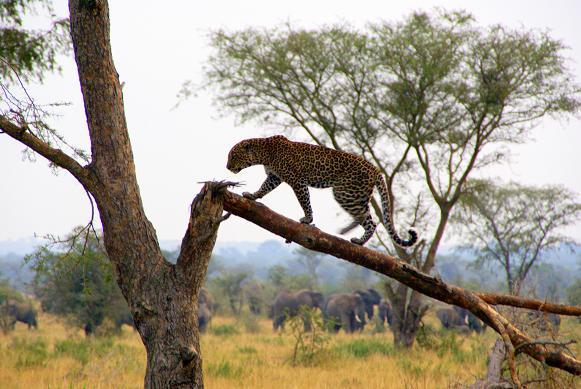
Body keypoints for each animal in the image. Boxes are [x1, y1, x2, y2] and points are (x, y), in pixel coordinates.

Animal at [225, 135, 416, 247]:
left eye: (233, 156)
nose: (227, 167)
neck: (263, 152)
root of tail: (374, 168)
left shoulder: (297, 182)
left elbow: (305, 203)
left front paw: (307, 220)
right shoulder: (274, 177)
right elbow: (264, 188)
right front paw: (253, 195)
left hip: (345, 193)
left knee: (370, 220)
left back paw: (353, 236)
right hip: (356, 194)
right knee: (368, 218)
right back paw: (356, 238)